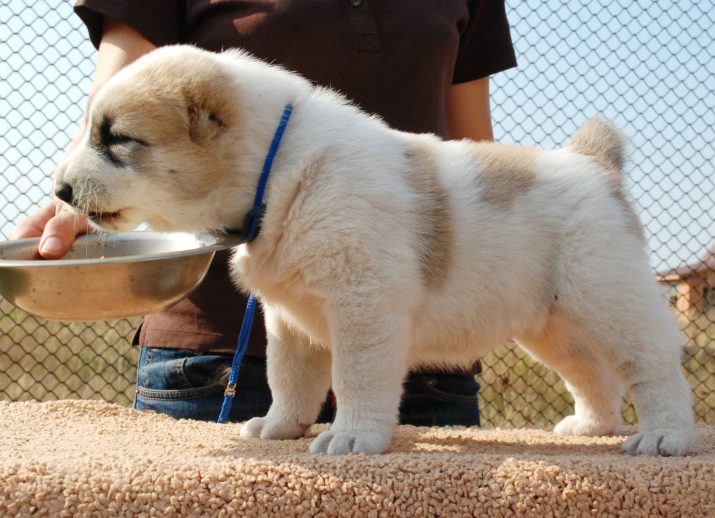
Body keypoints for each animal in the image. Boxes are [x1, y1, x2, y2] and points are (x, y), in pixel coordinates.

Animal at [54, 45, 692, 460]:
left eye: (118, 139)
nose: (60, 192)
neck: (281, 171)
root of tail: (593, 163)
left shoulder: (363, 308)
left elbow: (356, 378)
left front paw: (353, 437)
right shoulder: (290, 320)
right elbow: (290, 379)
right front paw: (280, 427)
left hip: (610, 298)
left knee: (653, 367)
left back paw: (665, 435)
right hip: (553, 325)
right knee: (593, 374)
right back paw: (593, 426)